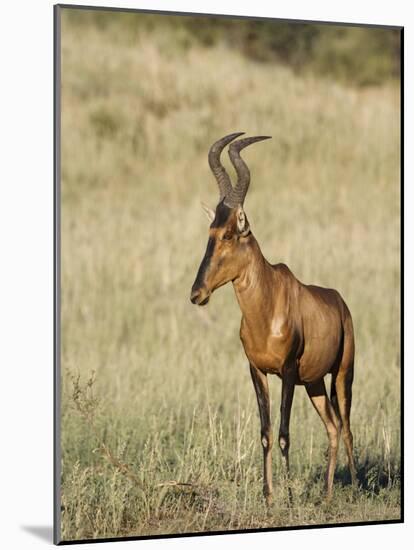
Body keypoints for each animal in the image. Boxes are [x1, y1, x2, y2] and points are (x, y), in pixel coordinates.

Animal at [190, 134, 356, 508]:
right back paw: (327, 494)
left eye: (229, 234)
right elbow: (266, 433)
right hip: (315, 384)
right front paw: (268, 496)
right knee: (333, 427)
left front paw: (290, 497)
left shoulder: (288, 372)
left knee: (348, 425)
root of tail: (339, 301)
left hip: (342, 374)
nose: (197, 293)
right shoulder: (258, 371)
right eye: (210, 230)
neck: (266, 308)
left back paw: (354, 487)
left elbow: (283, 433)